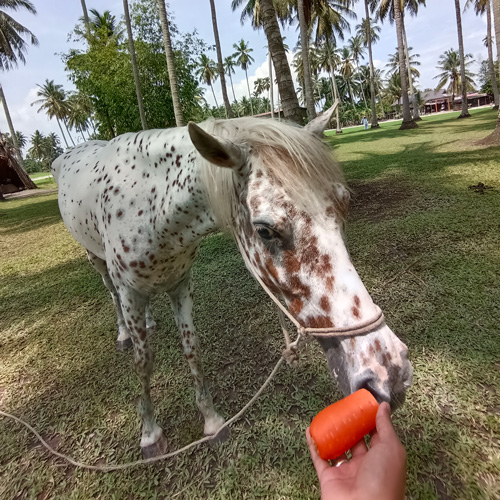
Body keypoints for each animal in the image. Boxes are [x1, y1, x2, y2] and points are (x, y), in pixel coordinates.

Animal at [50, 108, 412, 458]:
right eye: (265, 230)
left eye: (344, 203)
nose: (390, 375)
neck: (148, 207)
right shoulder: (131, 293)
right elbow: (144, 363)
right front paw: (150, 433)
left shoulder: (180, 284)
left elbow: (191, 349)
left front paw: (211, 421)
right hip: (97, 262)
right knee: (111, 294)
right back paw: (124, 334)